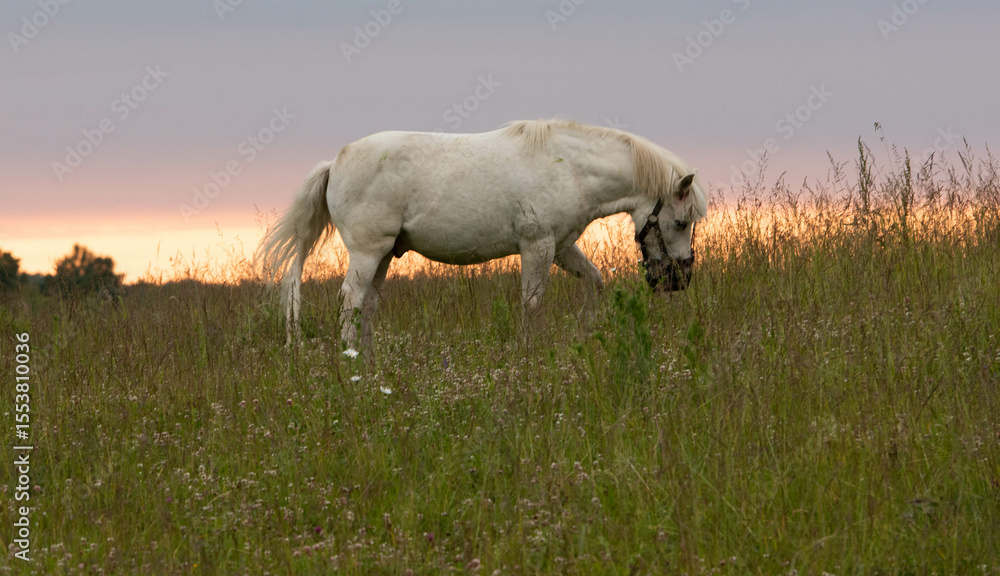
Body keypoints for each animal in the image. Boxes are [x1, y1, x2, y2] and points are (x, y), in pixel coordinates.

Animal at [256, 119, 708, 346]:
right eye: (681, 222)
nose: (679, 281)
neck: (570, 168)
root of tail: (334, 162)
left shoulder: (562, 247)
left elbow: (595, 282)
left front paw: (588, 330)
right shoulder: (538, 247)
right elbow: (531, 305)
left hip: (383, 256)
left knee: (367, 305)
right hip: (368, 253)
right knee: (350, 299)